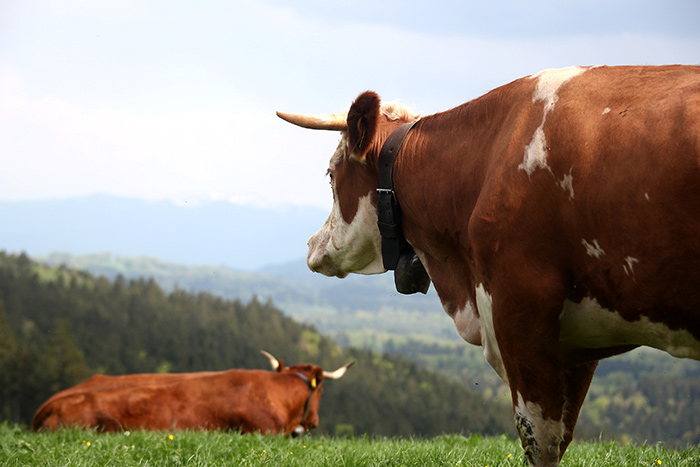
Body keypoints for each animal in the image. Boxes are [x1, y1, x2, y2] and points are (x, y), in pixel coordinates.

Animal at [278, 66, 700, 467]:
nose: (311, 244)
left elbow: (539, 440)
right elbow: (562, 436)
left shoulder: (520, 309)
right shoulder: (580, 341)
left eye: (331, 175)